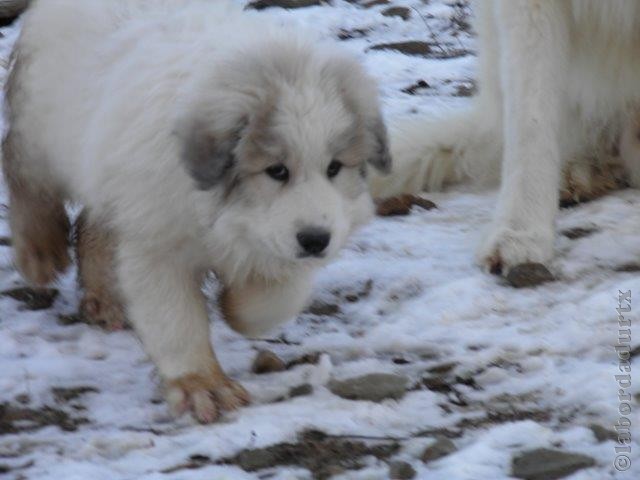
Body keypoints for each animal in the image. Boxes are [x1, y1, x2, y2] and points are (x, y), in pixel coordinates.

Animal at [3, 0, 390, 422]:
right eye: (276, 170)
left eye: (335, 167)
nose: (316, 241)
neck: (225, 212)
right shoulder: (157, 241)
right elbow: (176, 318)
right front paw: (202, 386)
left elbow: (278, 295)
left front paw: (237, 305)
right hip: (45, 125)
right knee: (25, 176)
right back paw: (41, 251)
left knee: (96, 224)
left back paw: (104, 299)